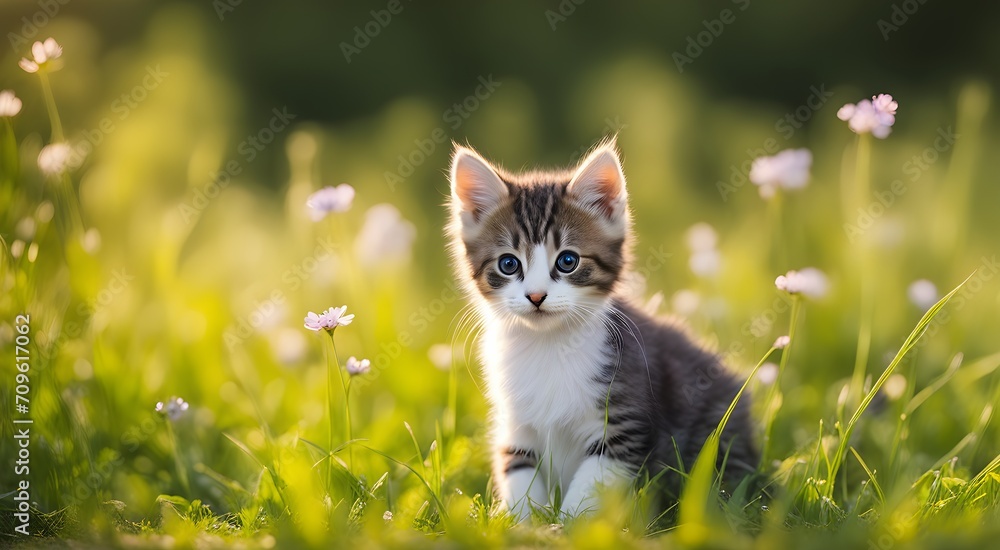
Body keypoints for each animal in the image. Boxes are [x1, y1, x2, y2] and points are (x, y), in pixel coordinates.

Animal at [448, 141, 756, 520]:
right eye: (508, 264)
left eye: (568, 261)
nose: (535, 296)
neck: (548, 344)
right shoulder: (514, 421)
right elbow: (518, 472)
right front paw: (525, 522)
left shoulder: (624, 421)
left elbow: (590, 486)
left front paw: (566, 525)